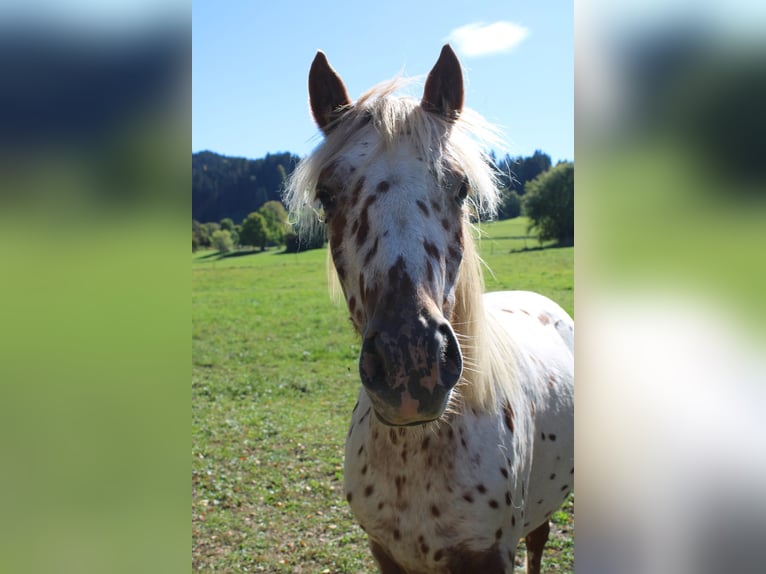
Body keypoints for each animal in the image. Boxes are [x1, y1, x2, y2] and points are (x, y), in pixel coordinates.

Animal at [284, 45, 574, 574]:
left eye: (460, 188)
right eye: (327, 196)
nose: (411, 364)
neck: (414, 456)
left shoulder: (489, 556)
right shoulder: (385, 553)